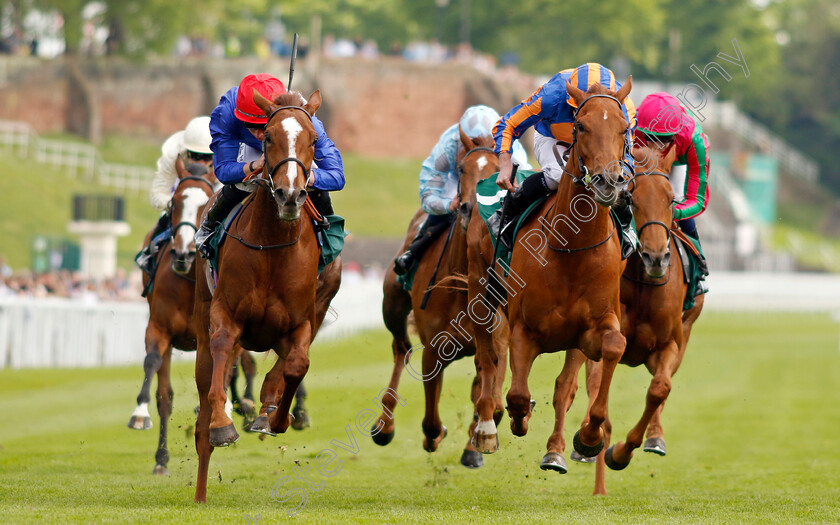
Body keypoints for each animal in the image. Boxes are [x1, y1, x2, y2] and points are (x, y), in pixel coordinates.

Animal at [127, 169, 260, 474]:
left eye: (204, 206)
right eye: (174, 203)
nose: (183, 253)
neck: (189, 282)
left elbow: (228, 368)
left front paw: (226, 410)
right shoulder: (159, 328)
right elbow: (154, 368)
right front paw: (140, 414)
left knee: (243, 367)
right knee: (165, 395)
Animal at [192, 88, 342, 502]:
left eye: (313, 140)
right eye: (268, 138)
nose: (290, 194)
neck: (273, 247)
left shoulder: (302, 321)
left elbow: (296, 366)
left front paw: (276, 416)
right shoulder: (225, 314)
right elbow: (222, 353)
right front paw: (223, 423)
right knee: (204, 407)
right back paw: (201, 489)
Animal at [372, 131, 506, 466]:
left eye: (498, 171)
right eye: (461, 168)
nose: (470, 208)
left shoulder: (495, 340)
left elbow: (486, 396)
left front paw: (476, 443)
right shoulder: (434, 349)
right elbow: (431, 422)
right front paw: (438, 435)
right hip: (392, 304)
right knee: (401, 349)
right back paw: (384, 424)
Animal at [462, 81, 632, 470]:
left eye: (623, 128)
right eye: (581, 126)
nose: (609, 183)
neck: (572, 250)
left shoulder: (591, 330)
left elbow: (608, 352)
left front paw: (587, 439)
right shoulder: (525, 328)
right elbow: (517, 392)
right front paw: (513, 418)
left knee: (560, 385)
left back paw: (554, 450)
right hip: (481, 293)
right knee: (487, 358)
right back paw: (486, 427)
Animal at [560, 142, 704, 492]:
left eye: (671, 199)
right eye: (631, 198)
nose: (656, 257)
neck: (643, 285)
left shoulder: (669, 345)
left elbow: (660, 389)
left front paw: (622, 452)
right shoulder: (601, 337)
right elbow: (597, 397)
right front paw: (589, 442)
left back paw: (654, 439)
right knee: (570, 386)